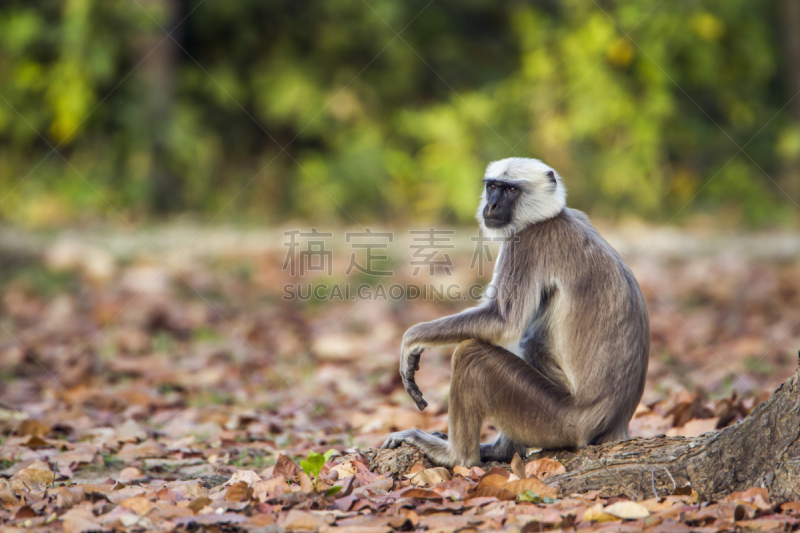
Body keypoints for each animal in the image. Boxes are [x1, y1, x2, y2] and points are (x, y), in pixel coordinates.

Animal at [382, 157, 648, 466]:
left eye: (510, 190)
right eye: (493, 187)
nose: (492, 205)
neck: (549, 217)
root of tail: (615, 424)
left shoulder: (528, 242)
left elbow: (503, 323)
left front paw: (411, 340)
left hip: (557, 421)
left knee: (472, 355)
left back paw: (457, 457)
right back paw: (500, 451)